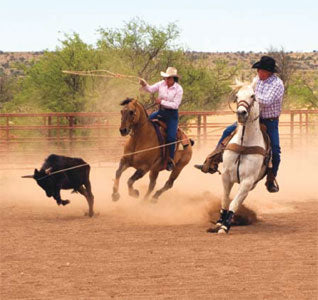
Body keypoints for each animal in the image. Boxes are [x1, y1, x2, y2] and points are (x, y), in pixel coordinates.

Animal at [210, 79, 270, 234]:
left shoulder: (247, 181)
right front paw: (219, 222)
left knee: (240, 199)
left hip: (250, 185)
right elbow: (225, 199)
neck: (244, 143)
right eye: (237, 96)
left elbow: (234, 203)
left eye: (253, 96)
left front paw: (225, 226)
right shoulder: (226, 175)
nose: (241, 113)